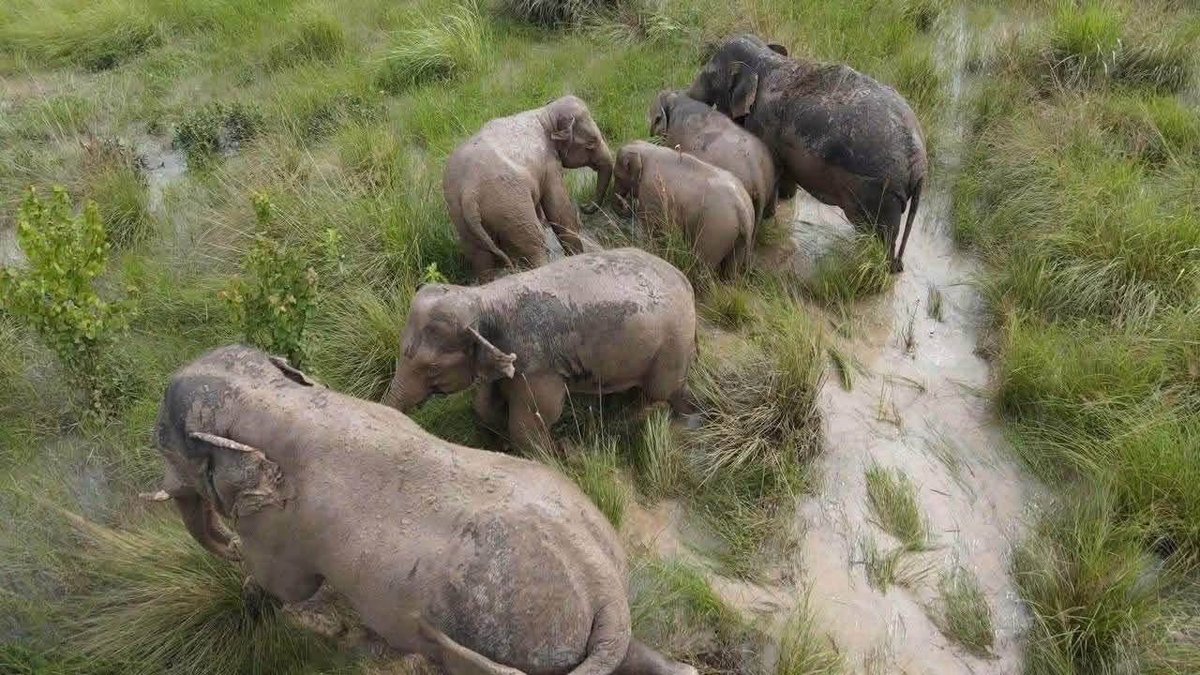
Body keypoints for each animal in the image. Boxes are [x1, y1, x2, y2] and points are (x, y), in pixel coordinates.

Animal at [152, 344, 698, 675]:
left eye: (165, 445)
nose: (225, 543)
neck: (273, 398)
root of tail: (603, 587)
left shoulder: (280, 528)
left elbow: (286, 583)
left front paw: (252, 591)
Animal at [381, 248, 696, 449]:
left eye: (432, 368)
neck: (483, 299)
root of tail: (685, 280)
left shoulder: (538, 368)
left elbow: (530, 424)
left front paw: (555, 455)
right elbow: (484, 404)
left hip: (672, 344)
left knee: (661, 392)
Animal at [443, 95, 614, 281]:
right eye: (591, 142)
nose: (584, 206)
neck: (544, 114)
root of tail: (469, 193)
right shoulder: (550, 164)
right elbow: (559, 211)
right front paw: (577, 255)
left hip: (462, 218)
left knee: (480, 259)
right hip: (511, 207)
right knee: (534, 246)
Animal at [612, 141, 755, 275]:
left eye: (617, 176)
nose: (623, 206)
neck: (647, 149)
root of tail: (742, 208)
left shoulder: (652, 192)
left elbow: (648, 225)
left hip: (716, 229)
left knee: (703, 263)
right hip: (737, 236)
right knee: (732, 268)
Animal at [687, 34, 927, 273]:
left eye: (709, 75)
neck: (765, 58)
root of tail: (920, 164)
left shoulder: (764, 125)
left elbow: (773, 169)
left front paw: (769, 215)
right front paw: (786, 198)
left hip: (881, 193)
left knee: (878, 235)